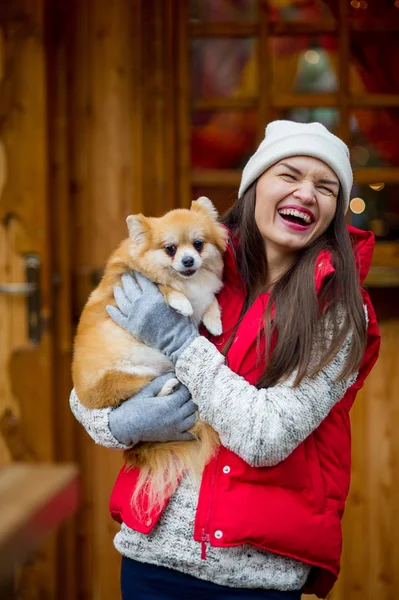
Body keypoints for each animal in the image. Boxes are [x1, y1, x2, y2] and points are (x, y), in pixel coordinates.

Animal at [73, 199, 227, 508]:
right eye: (170, 249)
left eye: (198, 244)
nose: (188, 260)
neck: (186, 280)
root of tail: (88, 394)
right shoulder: (132, 282)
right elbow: (164, 288)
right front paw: (181, 302)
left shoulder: (205, 291)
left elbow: (210, 300)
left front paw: (214, 320)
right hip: (127, 374)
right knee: (139, 394)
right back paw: (167, 388)